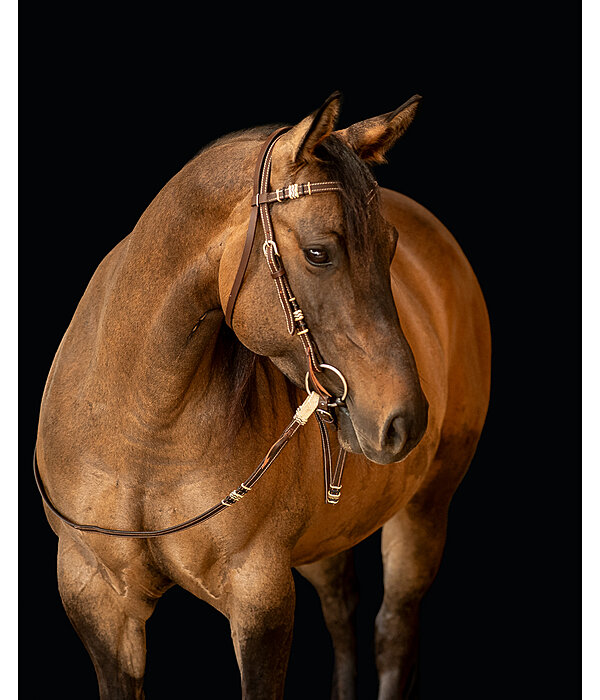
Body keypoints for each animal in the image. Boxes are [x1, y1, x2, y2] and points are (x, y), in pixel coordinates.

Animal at [34, 94, 492, 700]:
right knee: (342, 611)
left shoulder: (260, 596)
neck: (142, 431)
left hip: (425, 508)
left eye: (391, 247)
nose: (405, 421)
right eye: (319, 253)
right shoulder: (97, 598)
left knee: (393, 628)